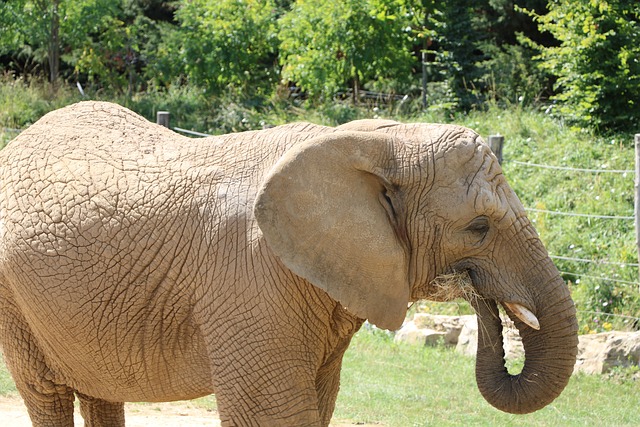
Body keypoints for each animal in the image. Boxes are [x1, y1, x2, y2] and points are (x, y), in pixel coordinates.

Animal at [0, 102, 580, 426]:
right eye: (478, 227)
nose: (480, 293)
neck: (371, 141)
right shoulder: (250, 280)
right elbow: (272, 414)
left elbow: (318, 406)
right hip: (13, 298)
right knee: (47, 393)